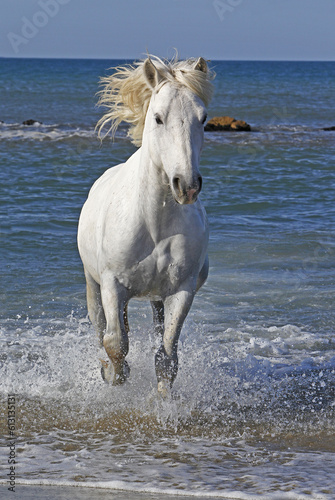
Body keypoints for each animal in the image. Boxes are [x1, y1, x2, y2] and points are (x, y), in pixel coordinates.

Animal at [78, 55, 215, 394]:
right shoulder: (112, 284)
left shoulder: (181, 290)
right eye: (158, 118)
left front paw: (163, 403)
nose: (187, 185)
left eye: (203, 118)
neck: (154, 225)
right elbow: (115, 343)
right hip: (93, 284)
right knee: (101, 328)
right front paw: (112, 375)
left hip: (156, 298)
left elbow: (166, 357)